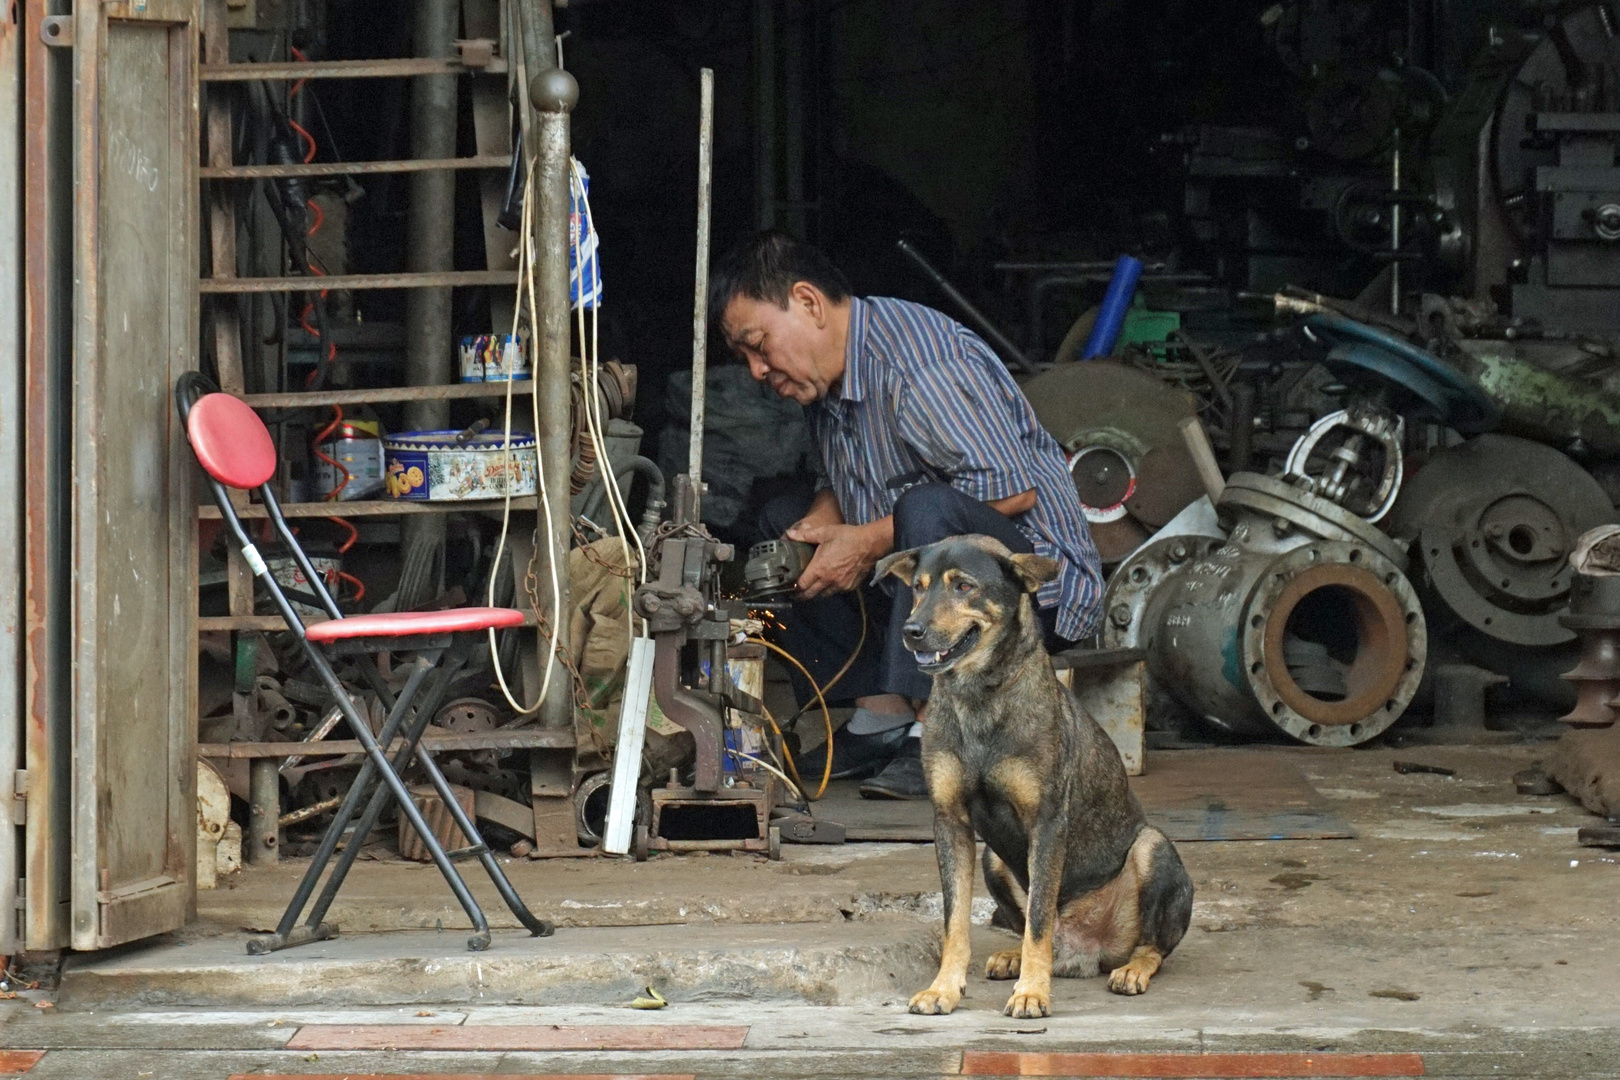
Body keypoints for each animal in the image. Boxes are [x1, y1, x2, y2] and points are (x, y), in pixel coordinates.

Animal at [881, 537, 1198, 1016]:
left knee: (1151, 945)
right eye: (918, 587)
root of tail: (1082, 952)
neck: (979, 696)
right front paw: (944, 988)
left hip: (1152, 846)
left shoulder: (1046, 824)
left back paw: (1130, 970)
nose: (910, 630)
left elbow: (1038, 919)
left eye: (964, 586)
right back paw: (1013, 958)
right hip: (993, 860)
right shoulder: (950, 822)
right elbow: (956, 921)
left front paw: (1031, 991)